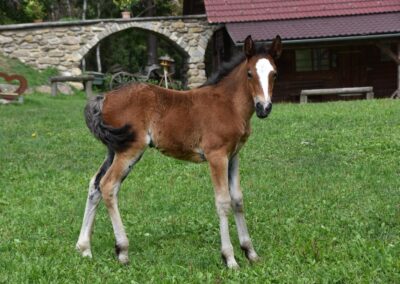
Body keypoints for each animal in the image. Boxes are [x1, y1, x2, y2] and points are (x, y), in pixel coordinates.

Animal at [76, 34, 282, 268]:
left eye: (274, 73)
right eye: (249, 73)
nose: (264, 108)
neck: (229, 104)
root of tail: (105, 98)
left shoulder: (234, 155)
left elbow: (237, 199)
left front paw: (250, 252)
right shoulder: (217, 155)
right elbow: (223, 201)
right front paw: (229, 258)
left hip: (114, 149)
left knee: (95, 184)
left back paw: (85, 248)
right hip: (130, 149)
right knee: (108, 185)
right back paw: (122, 251)